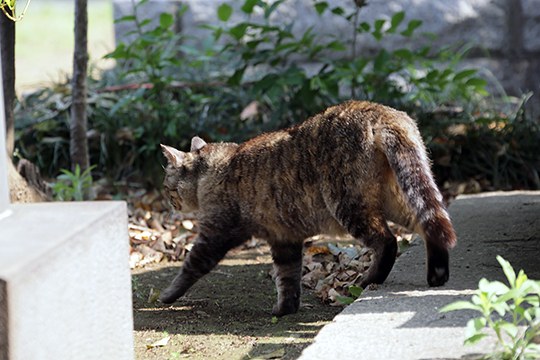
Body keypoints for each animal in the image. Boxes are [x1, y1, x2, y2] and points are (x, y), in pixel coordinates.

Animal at [159, 100, 456, 316]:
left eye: (167, 187)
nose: (169, 203)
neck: (212, 168)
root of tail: (379, 111)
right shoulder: (284, 239)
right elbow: (288, 278)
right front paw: (285, 309)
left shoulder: (215, 234)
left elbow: (191, 266)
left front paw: (167, 294)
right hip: (400, 198)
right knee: (431, 226)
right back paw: (437, 274)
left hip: (349, 205)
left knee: (388, 241)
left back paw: (368, 279)